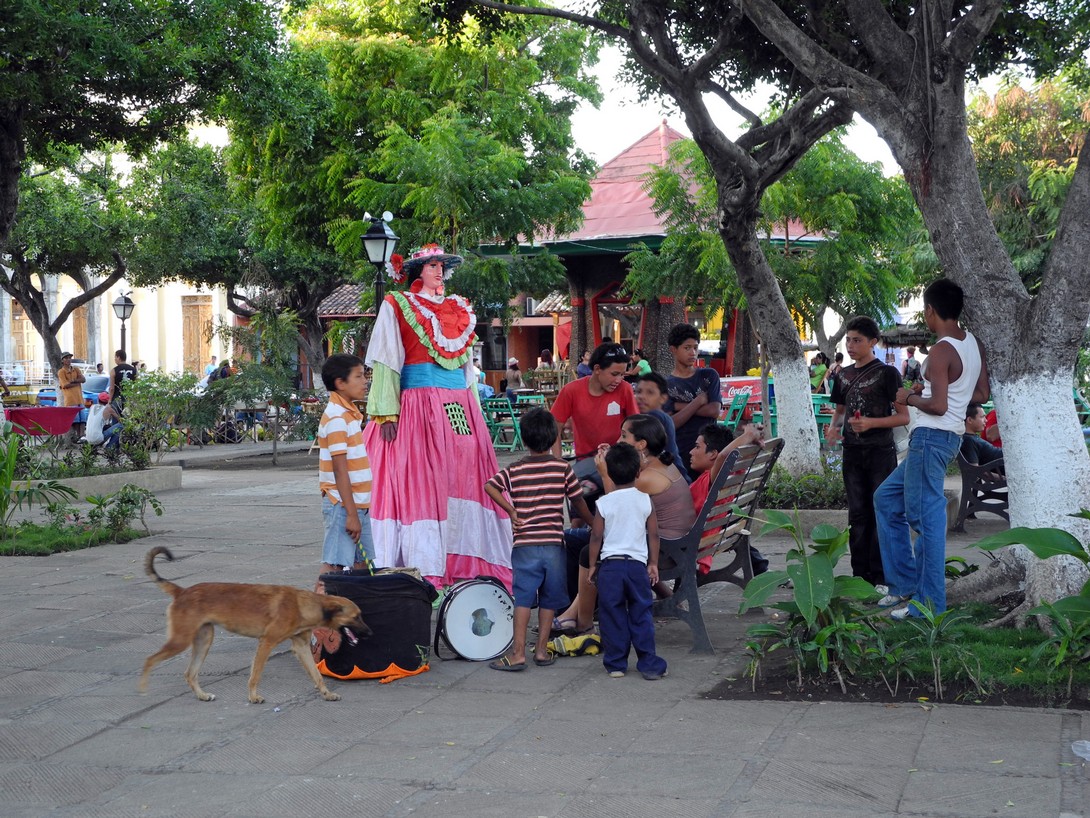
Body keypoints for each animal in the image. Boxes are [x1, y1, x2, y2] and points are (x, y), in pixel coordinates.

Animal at [138, 547, 370, 702]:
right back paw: (142, 689)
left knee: (190, 673)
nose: (370, 633)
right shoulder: (266, 643)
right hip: (181, 640)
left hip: (204, 641)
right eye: (356, 617)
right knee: (149, 660)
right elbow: (255, 674)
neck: (304, 604)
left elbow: (317, 675)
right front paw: (253, 697)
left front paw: (327, 694)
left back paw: (202, 696)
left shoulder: (302, 647)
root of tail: (182, 591)